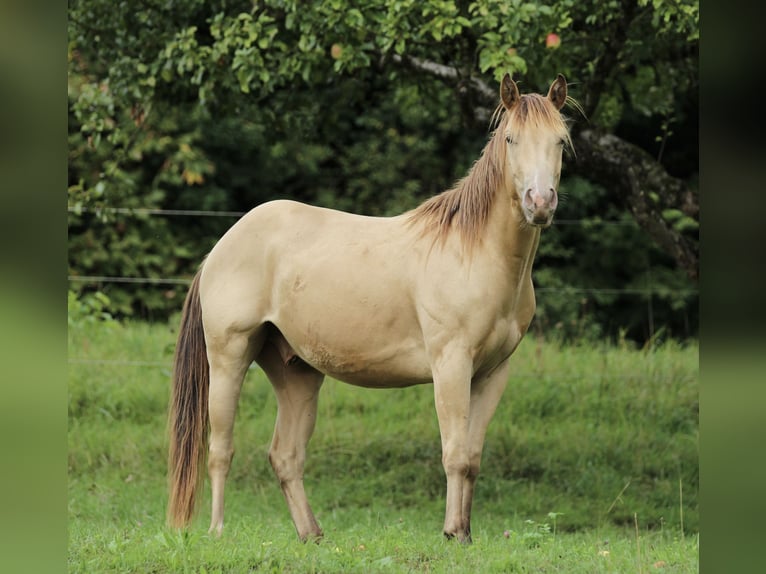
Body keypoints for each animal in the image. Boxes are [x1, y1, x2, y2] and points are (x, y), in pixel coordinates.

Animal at [167, 73, 572, 544]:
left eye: (560, 141)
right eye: (511, 139)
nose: (539, 202)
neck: (473, 252)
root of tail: (221, 247)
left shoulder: (492, 374)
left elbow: (471, 456)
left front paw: (466, 535)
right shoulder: (451, 366)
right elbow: (453, 453)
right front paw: (452, 533)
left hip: (296, 372)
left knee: (285, 456)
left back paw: (312, 536)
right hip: (229, 358)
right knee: (220, 449)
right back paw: (217, 531)